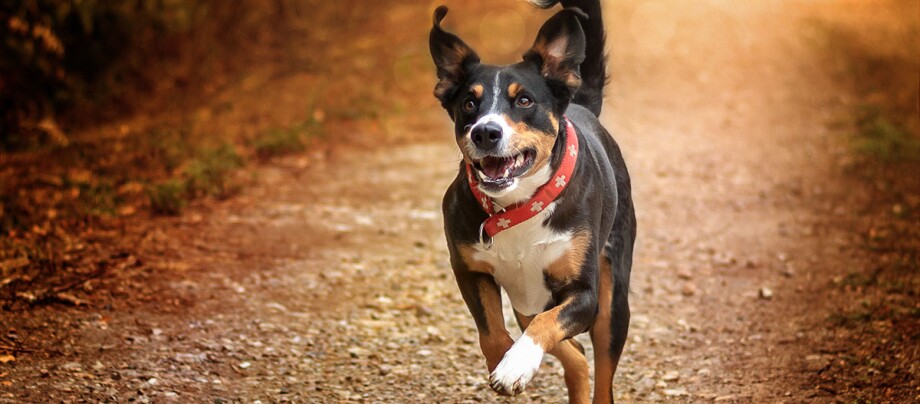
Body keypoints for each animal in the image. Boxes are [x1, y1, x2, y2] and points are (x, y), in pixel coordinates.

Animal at [430, 1, 632, 402]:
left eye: (524, 100)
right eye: (469, 103)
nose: (486, 132)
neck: (518, 207)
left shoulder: (584, 294)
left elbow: (544, 325)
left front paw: (515, 366)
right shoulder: (469, 270)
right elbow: (493, 333)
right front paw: (506, 362)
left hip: (612, 302)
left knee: (601, 371)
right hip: (527, 296)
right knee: (577, 354)